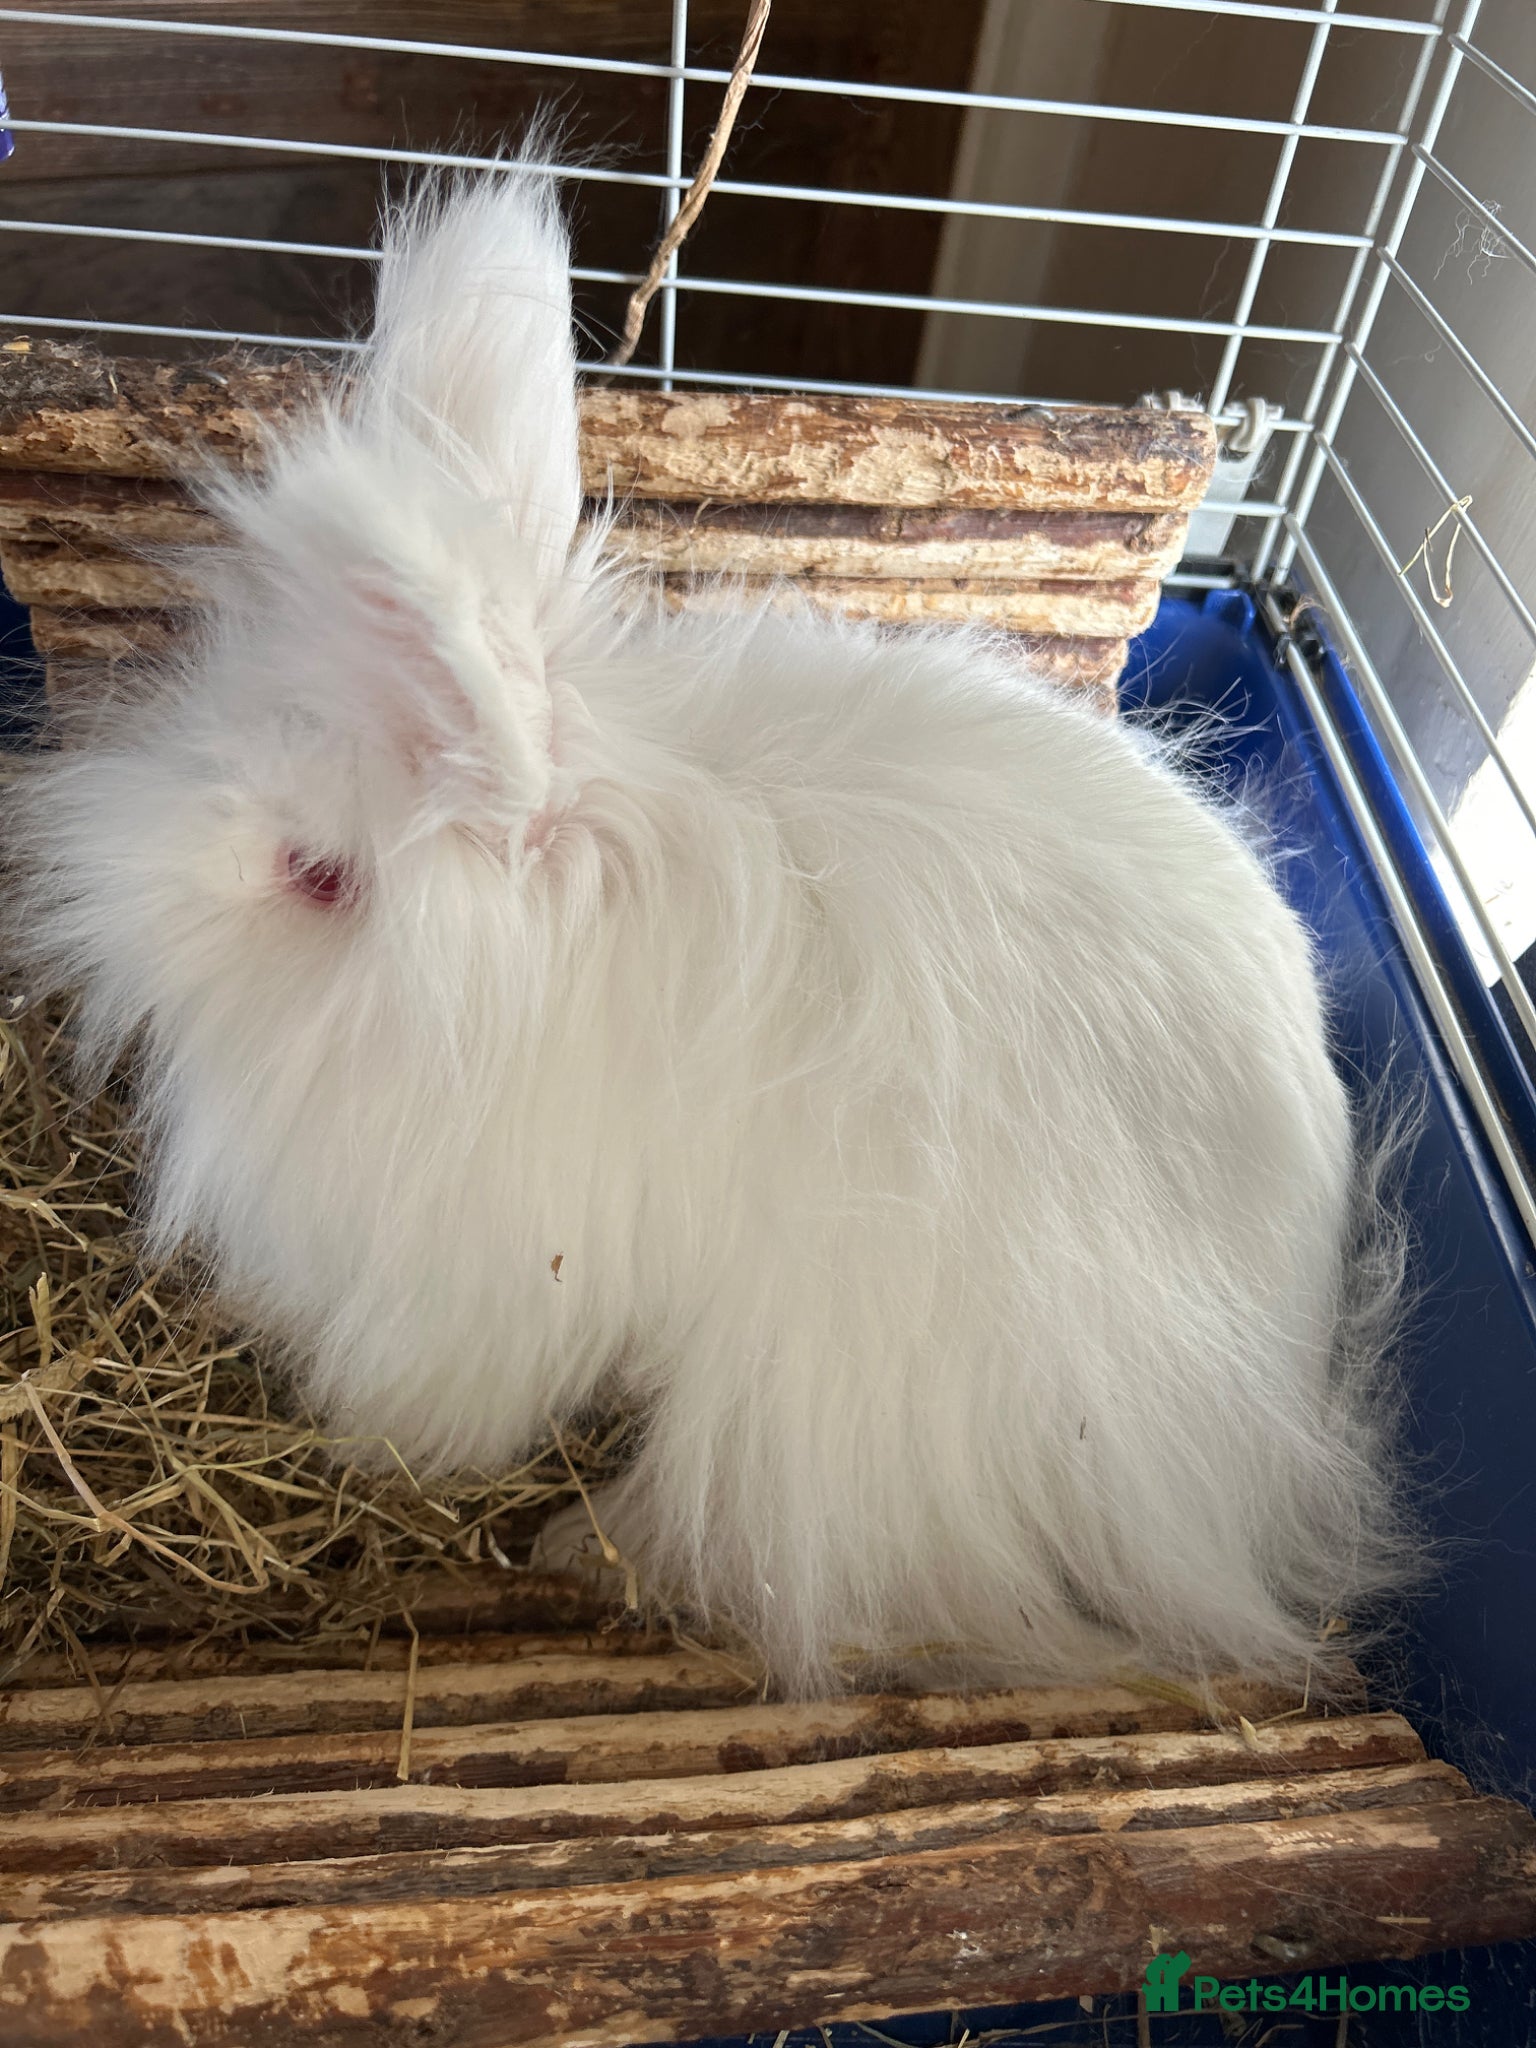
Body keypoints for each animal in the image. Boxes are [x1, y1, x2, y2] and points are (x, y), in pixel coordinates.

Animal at [0, 166, 1412, 1699]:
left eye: (318, 876)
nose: (101, 901)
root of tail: (1289, 1358)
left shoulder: (485, 1279)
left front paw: (387, 1454)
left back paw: (582, 1541)